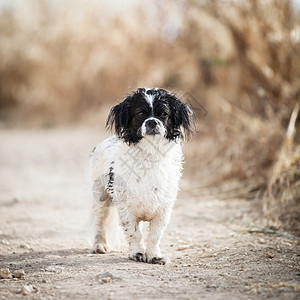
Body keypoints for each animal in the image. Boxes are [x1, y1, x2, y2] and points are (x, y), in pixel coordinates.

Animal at [89, 87, 195, 264]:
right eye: (139, 113)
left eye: (163, 114)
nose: (152, 121)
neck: (150, 154)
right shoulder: (125, 208)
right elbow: (134, 233)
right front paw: (137, 253)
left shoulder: (163, 209)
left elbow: (155, 235)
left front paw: (154, 255)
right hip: (100, 198)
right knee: (98, 223)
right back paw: (99, 246)